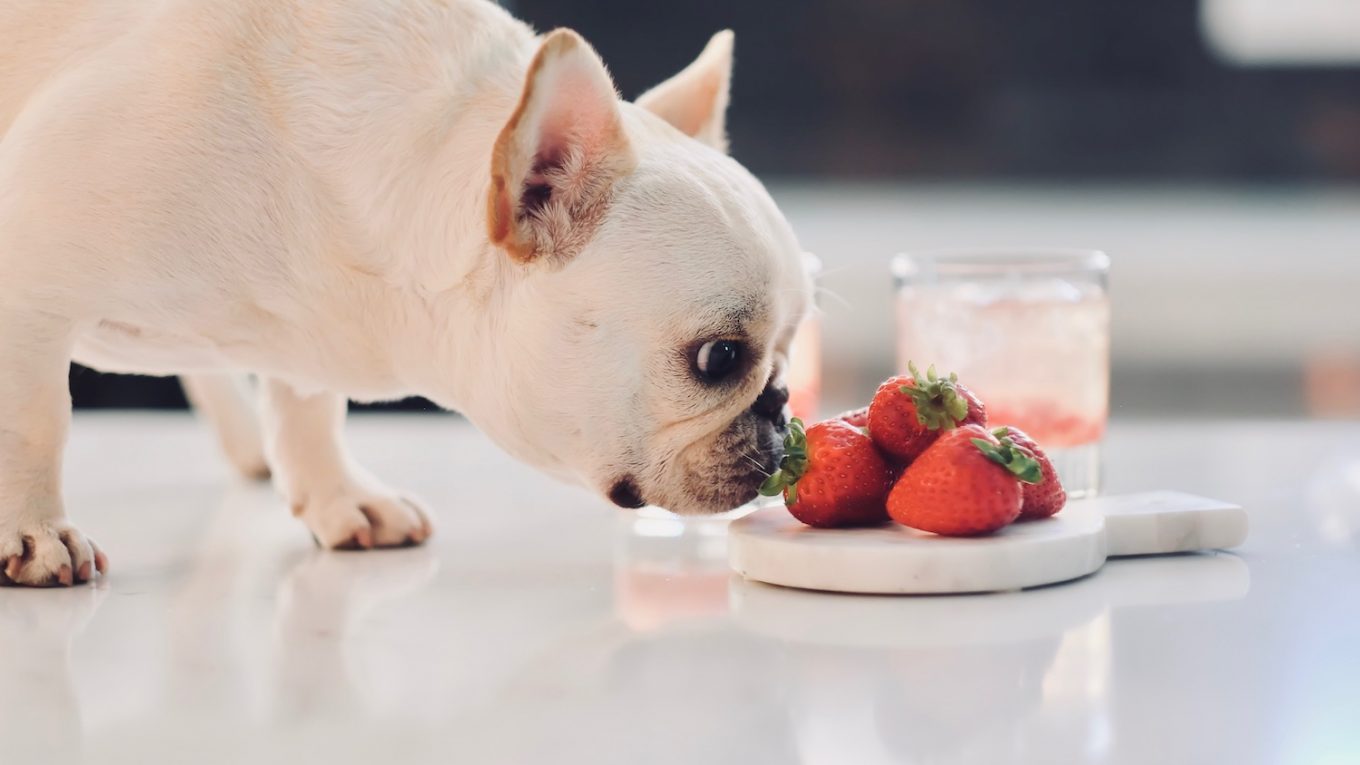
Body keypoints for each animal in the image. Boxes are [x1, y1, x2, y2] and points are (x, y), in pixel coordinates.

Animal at [0, 0, 805, 582]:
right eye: (718, 358)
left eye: (788, 350)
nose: (780, 404)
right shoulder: (27, 279)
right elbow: (36, 421)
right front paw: (34, 534)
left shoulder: (309, 320)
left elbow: (309, 407)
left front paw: (339, 496)